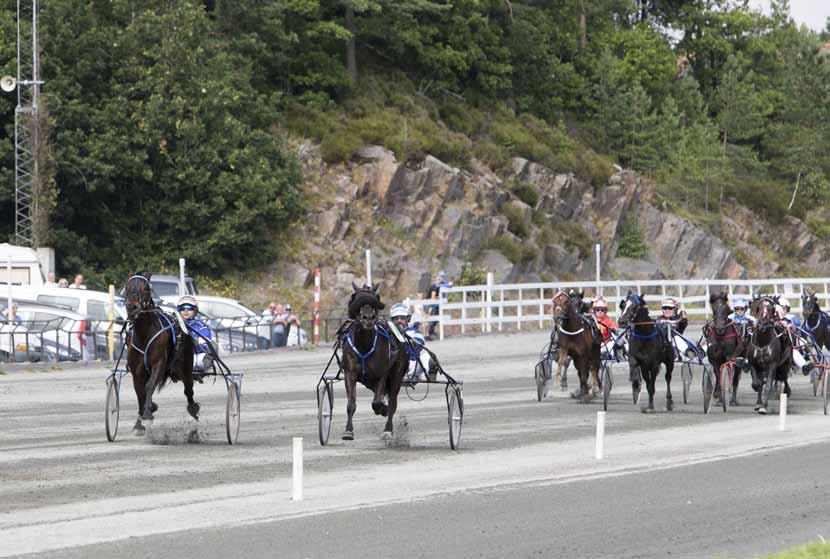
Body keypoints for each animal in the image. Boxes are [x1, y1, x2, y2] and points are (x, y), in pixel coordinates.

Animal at [123, 274, 200, 436]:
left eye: (146, 288)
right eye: (126, 287)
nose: (132, 307)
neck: (144, 335)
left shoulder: (158, 363)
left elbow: (149, 387)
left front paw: (147, 414)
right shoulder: (136, 371)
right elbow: (140, 392)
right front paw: (140, 421)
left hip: (185, 366)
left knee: (188, 389)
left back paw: (193, 409)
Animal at [342, 284, 410, 442]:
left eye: (376, 297)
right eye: (354, 297)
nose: (368, 318)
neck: (364, 346)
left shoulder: (382, 374)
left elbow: (378, 402)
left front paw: (382, 410)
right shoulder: (350, 373)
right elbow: (351, 404)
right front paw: (348, 431)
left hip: (396, 374)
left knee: (392, 402)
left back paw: (388, 428)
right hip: (368, 381)